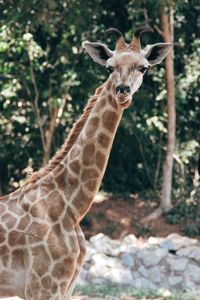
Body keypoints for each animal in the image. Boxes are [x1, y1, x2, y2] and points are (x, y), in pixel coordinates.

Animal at [0, 26, 172, 300]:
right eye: (109, 68)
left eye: (143, 67)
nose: (122, 91)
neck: (71, 207)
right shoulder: (43, 285)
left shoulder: (64, 287)